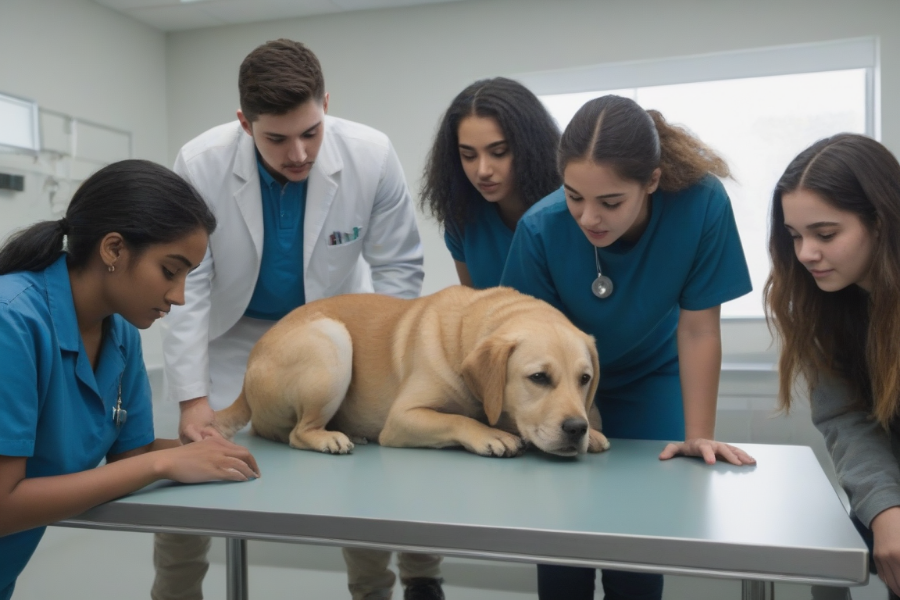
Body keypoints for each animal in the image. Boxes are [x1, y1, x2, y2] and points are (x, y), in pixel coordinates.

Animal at [217, 284, 608, 458]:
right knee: (297, 433)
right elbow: (458, 419)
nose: (577, 428)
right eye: (538, 377)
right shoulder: (403, 418)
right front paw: (489, 434)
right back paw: (329, 437)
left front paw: (594, 434)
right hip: (331, 341)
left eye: (584, 379)